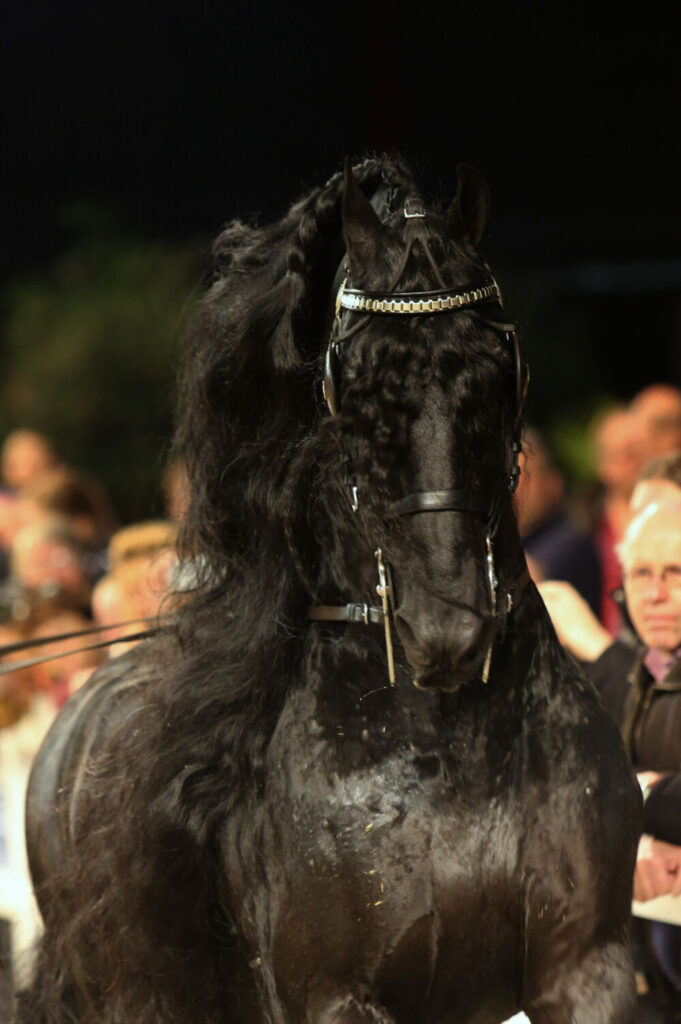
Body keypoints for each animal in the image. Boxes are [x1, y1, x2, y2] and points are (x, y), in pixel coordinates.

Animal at [19, 155, 642, 1024]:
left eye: (495, 368)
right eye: (358, 383)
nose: (448, 633)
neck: (447, 751)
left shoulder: (584, 967)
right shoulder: (338, 995)